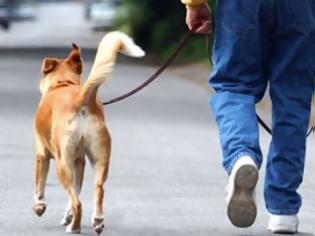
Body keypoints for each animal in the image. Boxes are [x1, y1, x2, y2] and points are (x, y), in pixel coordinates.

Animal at [33, 31, 144, 234]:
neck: (63, 83)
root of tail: (80, 98)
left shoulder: (42, 154)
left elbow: (40, 184)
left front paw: (39, 206)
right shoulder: (80, 161)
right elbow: (76, 191)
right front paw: (67, 215)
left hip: (62, 163)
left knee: (77, 202)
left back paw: (74, 227)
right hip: (100, 158)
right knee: (97, 189)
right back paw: (97, 220)